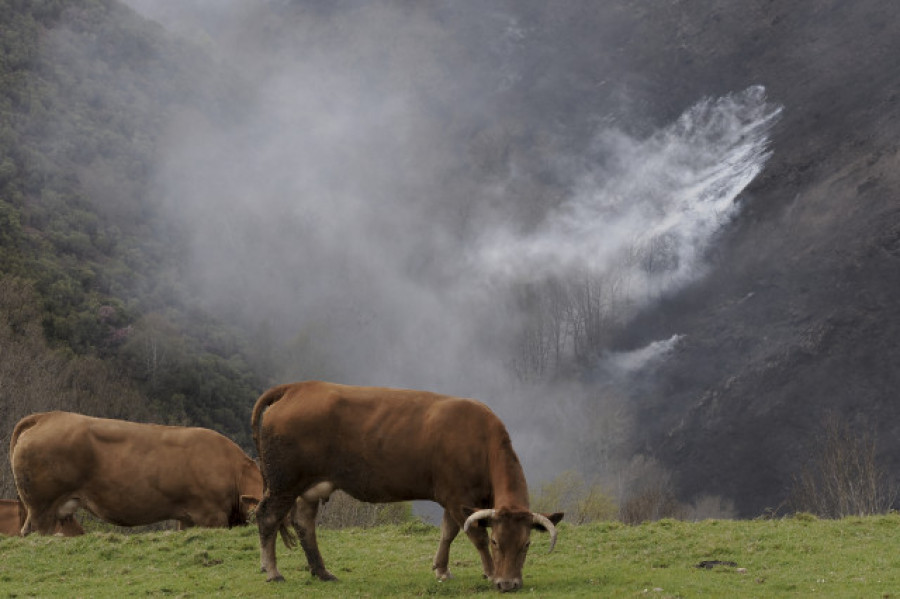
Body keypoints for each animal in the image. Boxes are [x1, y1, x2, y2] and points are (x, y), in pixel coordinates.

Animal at [253, 382, 564, 592]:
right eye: (498, 541)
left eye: (526, 544)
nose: (508, 584)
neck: (480, 441)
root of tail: (298, 387)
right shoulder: (457, 497)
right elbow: (475, 536)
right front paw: (488, 572)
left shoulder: (455, 500)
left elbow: (448, 533)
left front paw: (441, 570)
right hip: (283, 483)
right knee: (268, 517)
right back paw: (273, 572)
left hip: (310, 487)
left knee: (304, 524)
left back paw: (322, 572)